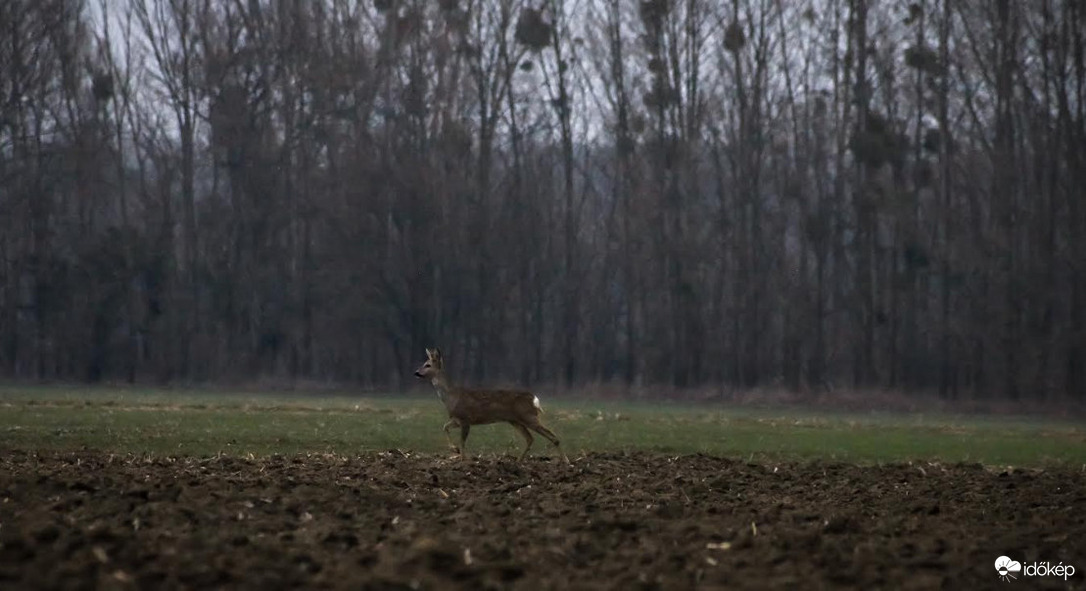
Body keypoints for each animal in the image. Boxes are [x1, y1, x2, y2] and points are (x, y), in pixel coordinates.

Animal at [412, 345, 569, 460]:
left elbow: (463, 441)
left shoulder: (466, 419)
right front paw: (455, 450)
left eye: (427, 365)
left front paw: (462, 458)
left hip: (528, 416)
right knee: (530, 439)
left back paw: (565, 462)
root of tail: (534, 398)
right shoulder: (457, 419)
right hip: (515, 420)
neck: (452, 397)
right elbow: (445, 427)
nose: (416, 372)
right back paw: (518, 461)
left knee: (552, 436)